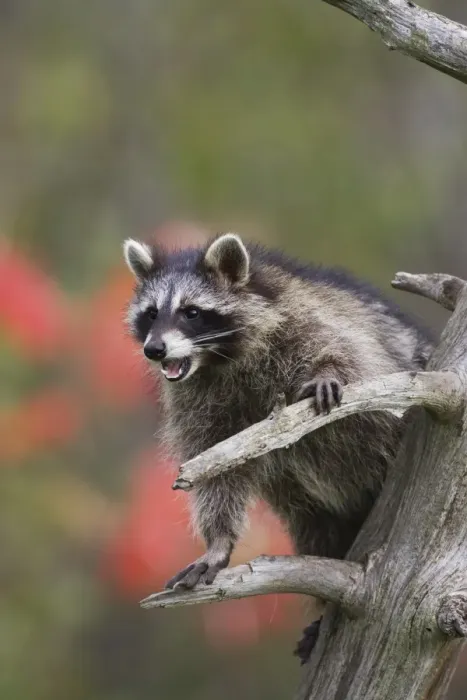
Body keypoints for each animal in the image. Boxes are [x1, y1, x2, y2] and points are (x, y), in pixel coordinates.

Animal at [123, 233, 433, 660]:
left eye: (191, 312)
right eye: (151, 314)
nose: (154, 349)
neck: (218, 360)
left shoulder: (308, 322)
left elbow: (351, 357)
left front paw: (329, 370)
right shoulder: (198, 403)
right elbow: (216, 468)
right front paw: (218, 541)